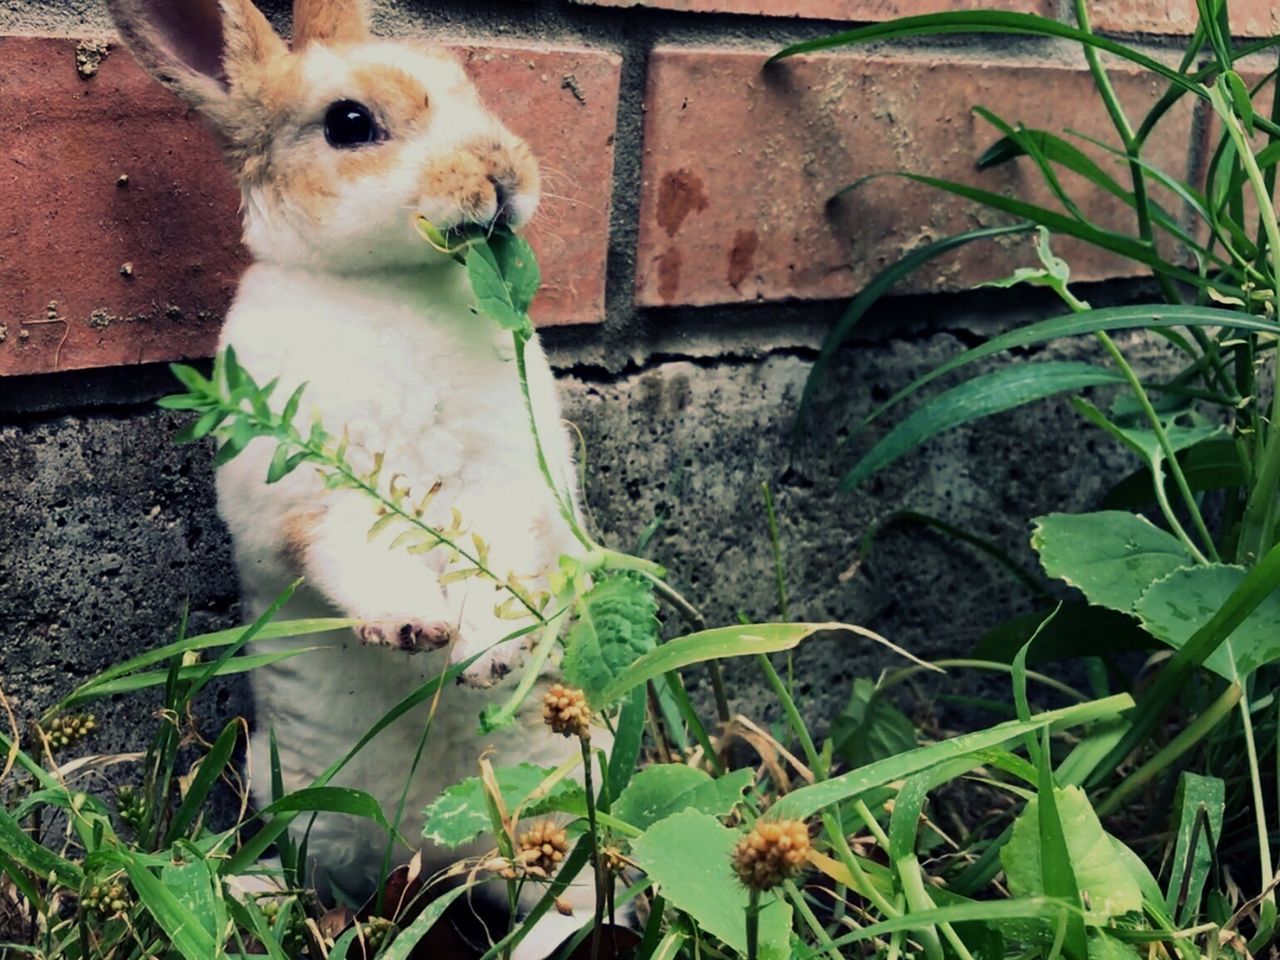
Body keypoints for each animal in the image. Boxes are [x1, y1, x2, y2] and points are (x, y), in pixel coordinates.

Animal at [102, 0, 606, 952]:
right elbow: (351, 548)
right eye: (348, 123)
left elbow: (499, 560)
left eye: (466, 85)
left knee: (570, 894)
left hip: (553, 815)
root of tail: (430, 858)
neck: (391, 287)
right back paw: (255, 896)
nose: (501, 171)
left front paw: (488, 652)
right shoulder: (302, 505)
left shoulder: (513, 491)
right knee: (322, 884)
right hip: (298, 805)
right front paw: (413, 625)